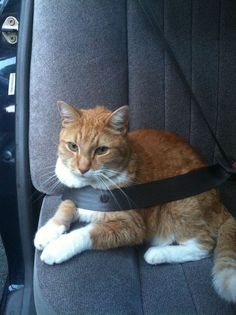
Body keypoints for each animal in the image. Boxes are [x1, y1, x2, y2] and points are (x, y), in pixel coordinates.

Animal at [34, 102, 236, 304]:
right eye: (73, 146)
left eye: (101, 150)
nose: (82, 169)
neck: (92, 187)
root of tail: (220, 202)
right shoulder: (75, 196)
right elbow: (65, 208)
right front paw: (47, 232)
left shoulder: (131, 226)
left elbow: (86, 232)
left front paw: (57, 247)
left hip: (180, 205)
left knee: (203, 245)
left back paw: (157, 253)